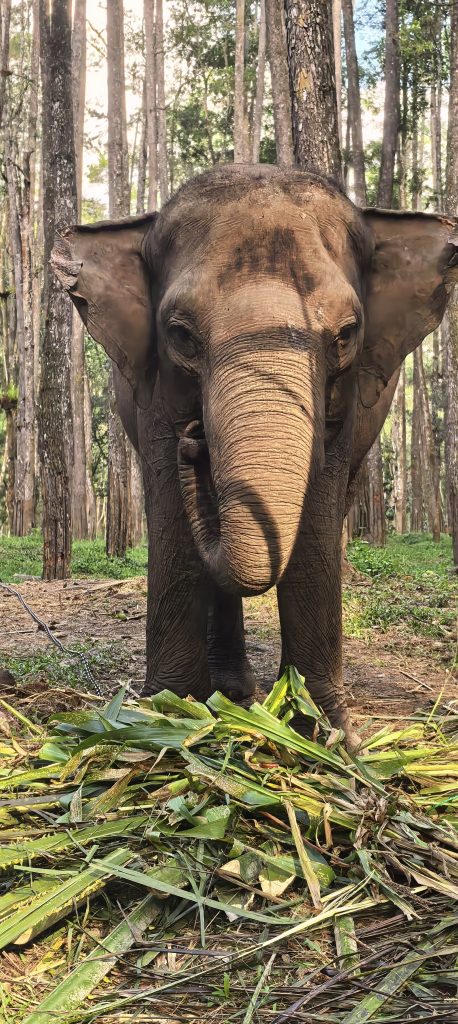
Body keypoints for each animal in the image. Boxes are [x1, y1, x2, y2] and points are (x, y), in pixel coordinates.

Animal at [52, 164, 458, 746]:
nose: (195, 440)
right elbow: (171, 514)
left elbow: (317, 515)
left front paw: (326, 734)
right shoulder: (152, 392)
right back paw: (227, 695)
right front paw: (162, 717)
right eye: (180, 335)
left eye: (346, 334)